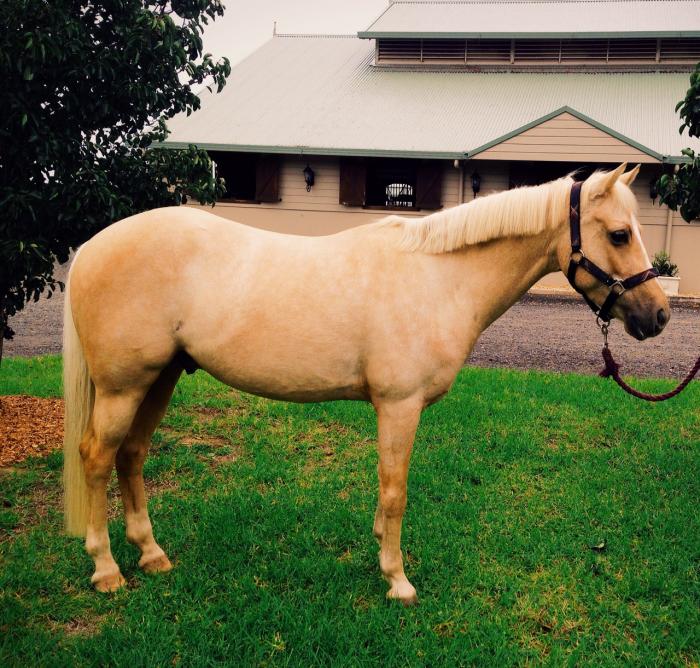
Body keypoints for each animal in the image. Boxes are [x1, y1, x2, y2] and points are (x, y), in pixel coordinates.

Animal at [62, 162, 669, 604]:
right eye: (619, 234)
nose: (658, 316)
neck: (438, 277)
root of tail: (90, 247)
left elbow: (387, 492)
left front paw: (382, 553)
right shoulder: (400, 405)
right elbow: (396, 490)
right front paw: (398, 581)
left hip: (158, 379)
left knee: (131, 456)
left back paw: (152, 555)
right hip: (123, 388)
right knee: (97, 457)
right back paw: (106, 569)